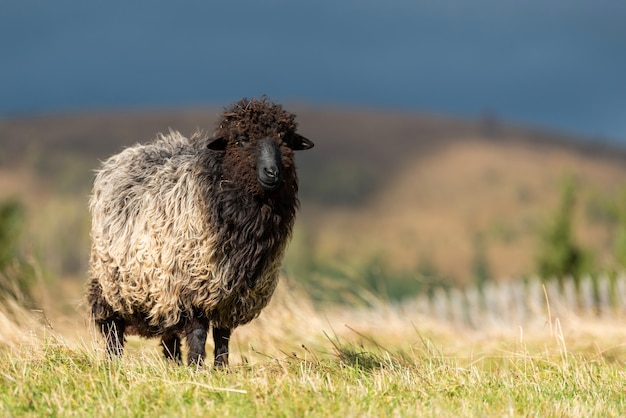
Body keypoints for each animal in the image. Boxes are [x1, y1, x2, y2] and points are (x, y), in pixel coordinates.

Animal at [85, 97, 314, 366]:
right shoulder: (192, 285)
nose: (272, 172)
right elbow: (198, 332)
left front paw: (221, 368)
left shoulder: (230, 296)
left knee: (169, 333)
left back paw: (173, 363)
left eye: (285, 139)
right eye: (241, 139)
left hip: (160, 287)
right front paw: (195, 366)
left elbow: (223, 335)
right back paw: (115, 361)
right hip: (112, 280)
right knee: (112, 327)